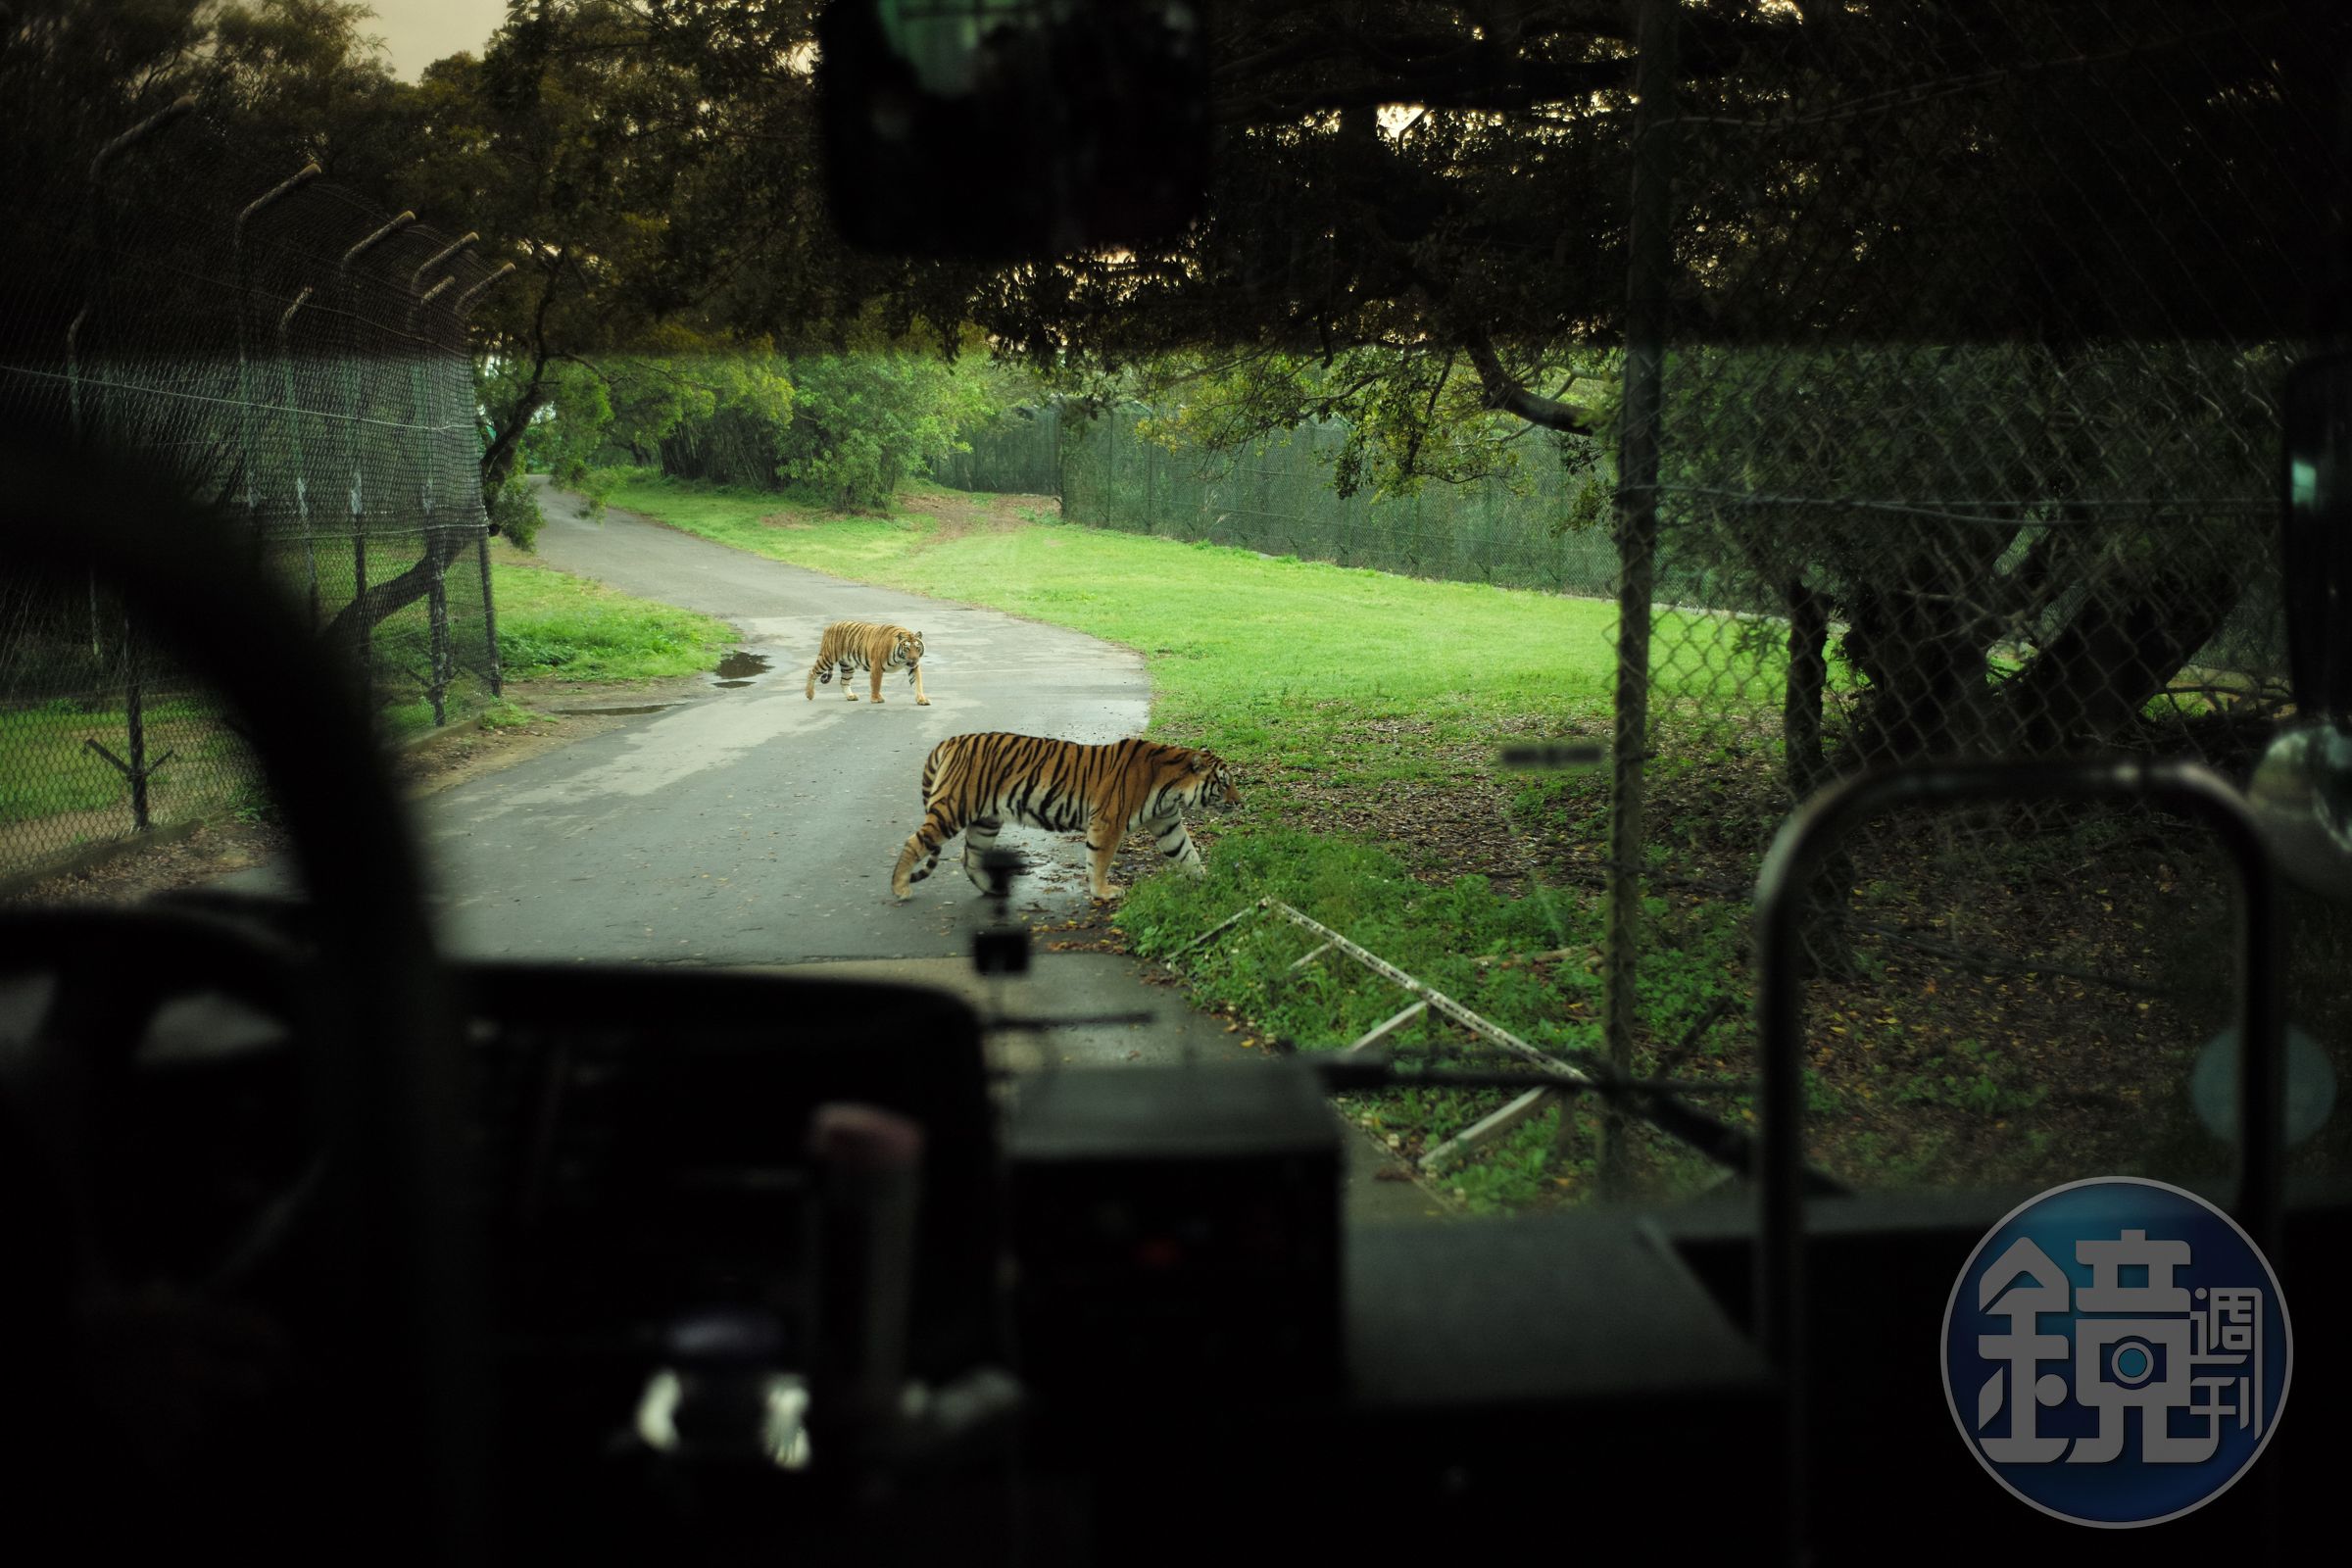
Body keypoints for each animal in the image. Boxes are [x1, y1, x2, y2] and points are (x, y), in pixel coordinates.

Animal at [891, 732, 1241, 902]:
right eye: (1224, 783)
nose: (1239, 801)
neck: (1171, 787)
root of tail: (950, 741)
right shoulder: (1108, 822)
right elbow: (1099, 860)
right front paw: (1103, 892)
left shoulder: (1167, 822)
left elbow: (1186, 852)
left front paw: (1209, 879)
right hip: (953, 808)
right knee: (914, 842)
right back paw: (899, 888)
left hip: (986, 821)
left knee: (970, 857)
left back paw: (994, 890)